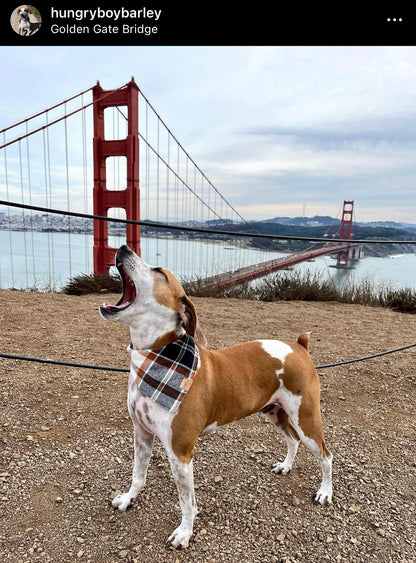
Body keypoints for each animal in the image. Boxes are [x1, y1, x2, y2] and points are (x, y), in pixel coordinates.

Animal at [99, 245, 334, 548]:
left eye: (159, 271)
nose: (125, 248)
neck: (155, 358)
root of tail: (299, 347)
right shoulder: (141, 433)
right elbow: (138, 475)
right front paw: (129, 499)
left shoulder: (181, 452)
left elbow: (187, 502)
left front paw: (184, 533)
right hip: (275, 412)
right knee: (292, 440)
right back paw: (285, 466)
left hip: (306, 419)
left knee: (326, 456)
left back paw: (325, 492)